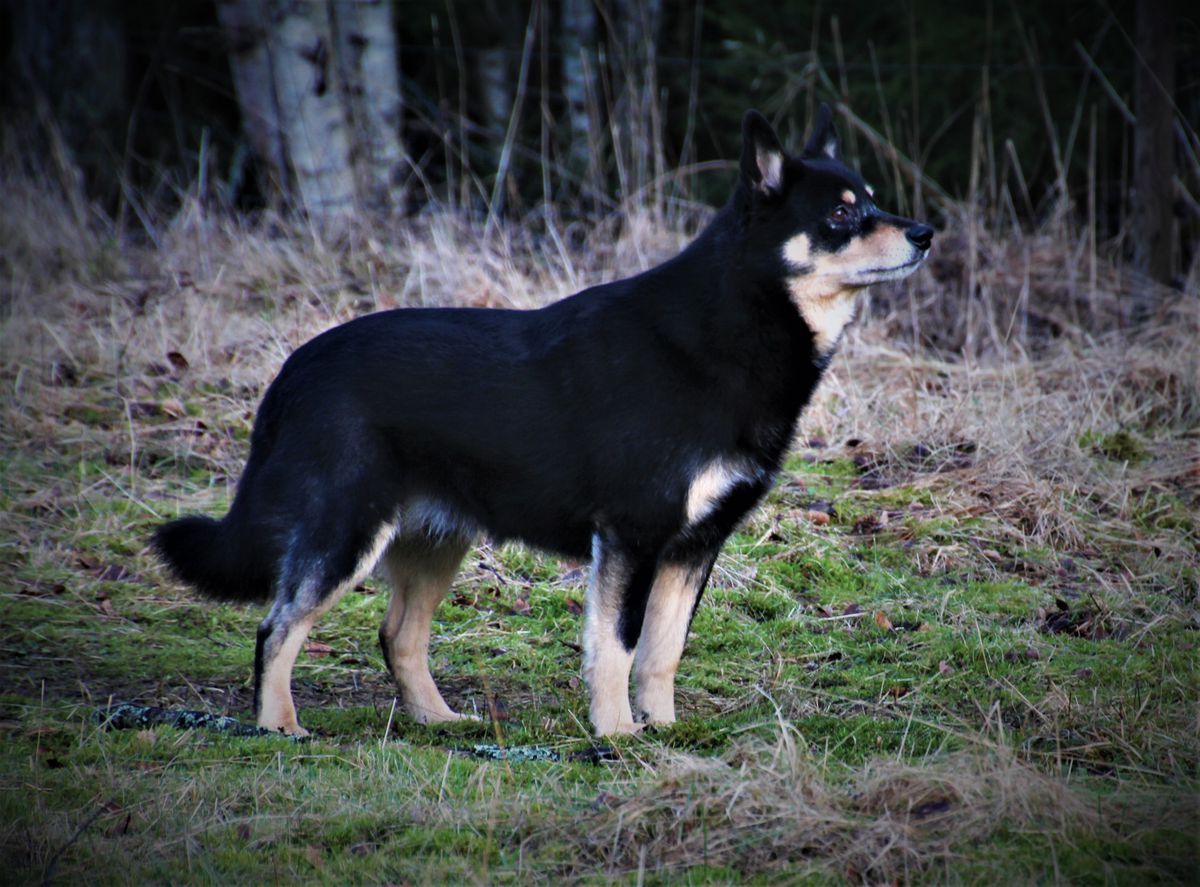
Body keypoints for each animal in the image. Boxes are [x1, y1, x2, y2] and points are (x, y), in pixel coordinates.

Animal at [152, 107, 936, 739]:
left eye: (871, 200)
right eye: (841, 214)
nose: (926, 233)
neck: (735, 328)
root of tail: (296, 369)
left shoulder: (693, 545)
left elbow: (663, 652)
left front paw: (666, 732)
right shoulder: (631, 536)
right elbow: (616, 647)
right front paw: (616, 737)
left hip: (435, 535)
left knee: (398, 634)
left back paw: (440, 720)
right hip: (348, 528)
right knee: (278, 626)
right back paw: (278, 727)